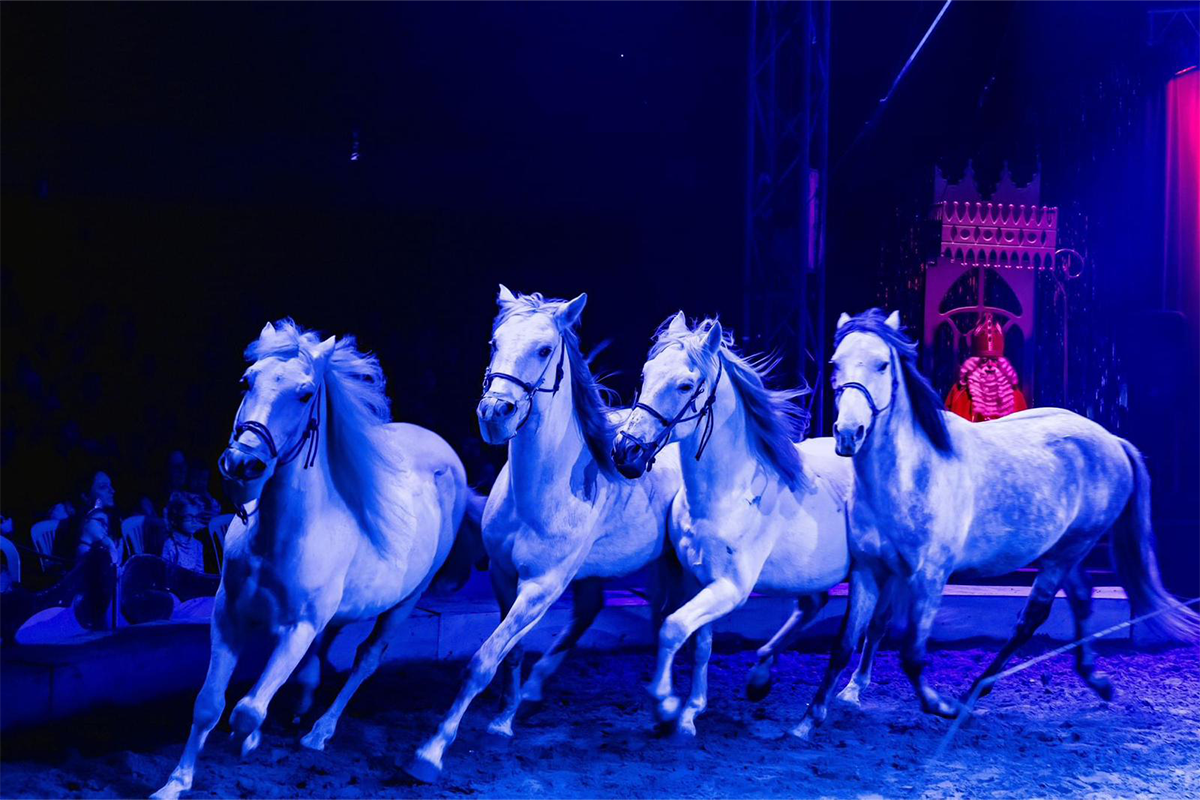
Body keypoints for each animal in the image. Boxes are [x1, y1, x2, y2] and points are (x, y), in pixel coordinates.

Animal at [153, 320, 481, 800]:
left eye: (306, 394)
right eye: (246, 381)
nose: (242, 463)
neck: (278, 536)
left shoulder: (298, 626)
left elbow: (247, 710)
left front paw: (248, 740)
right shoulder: (228, 615)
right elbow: (209, 704)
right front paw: (175, 784)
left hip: (404, 602)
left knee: (366, 658)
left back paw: (320, 731)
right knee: (326, 648)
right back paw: (304, 700)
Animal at [405, 287, 686, 781]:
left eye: (543, 349)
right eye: (495, 342)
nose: (495, 413)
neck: (538, 493)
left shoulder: (541, 586)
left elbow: (483, 660)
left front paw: (431, 751)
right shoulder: (503, 575)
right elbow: (511, 652)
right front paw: (502, 719)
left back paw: (673, 710)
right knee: (601, 612)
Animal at [610, 312, 881, 735]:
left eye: (685, 384)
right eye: (645, 373)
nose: (626, 450)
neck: (722, 497)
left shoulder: (730, 588)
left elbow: (672, 628)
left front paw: (666, 704)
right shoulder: (699, 580)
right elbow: (699, 644)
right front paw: (691, 711)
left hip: (870, 573)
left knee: (862, 633)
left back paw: (833, 703)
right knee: (814, 605)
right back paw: (761, 676)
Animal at [791, 308, 1200, 740]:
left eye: (882, 364)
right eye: (835, 364)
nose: (847, 434)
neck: (906, 476)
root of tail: (1113, 441)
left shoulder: (928, 576)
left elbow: (912, 655)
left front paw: (943, 707)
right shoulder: (870, 571)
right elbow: (845, 644)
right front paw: (809, 719)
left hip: (1071, 549)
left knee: (1032, 618)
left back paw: (975, 691)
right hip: (1063, 550)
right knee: (1083, 597)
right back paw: (1096, 681)